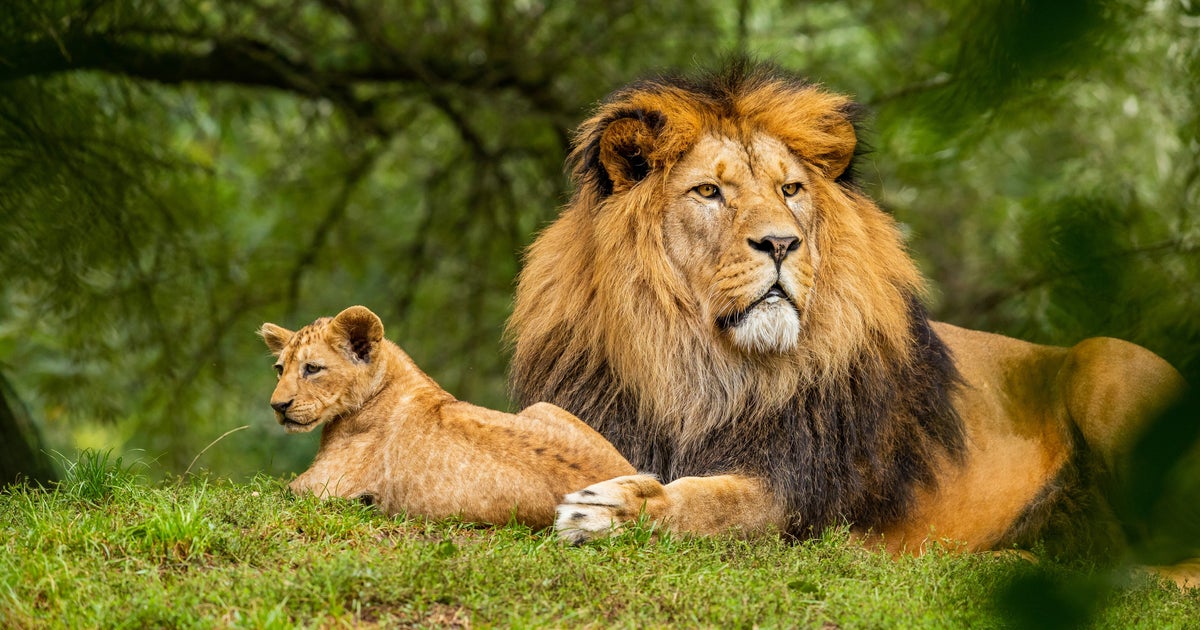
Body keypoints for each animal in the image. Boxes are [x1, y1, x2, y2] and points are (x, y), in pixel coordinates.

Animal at [258, 305, 635, 527]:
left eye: (312, 369)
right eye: (279, 369)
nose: (277, 406)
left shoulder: (319, 487)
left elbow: (268, 493)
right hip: (542, 406)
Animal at [506, 61, 1194, 585]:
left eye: (789, 190)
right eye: (708, 192)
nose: (781, 244)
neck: (700, 366)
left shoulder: (797, 491)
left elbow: (712, 502)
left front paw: (612, 509)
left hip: (1106, 360)